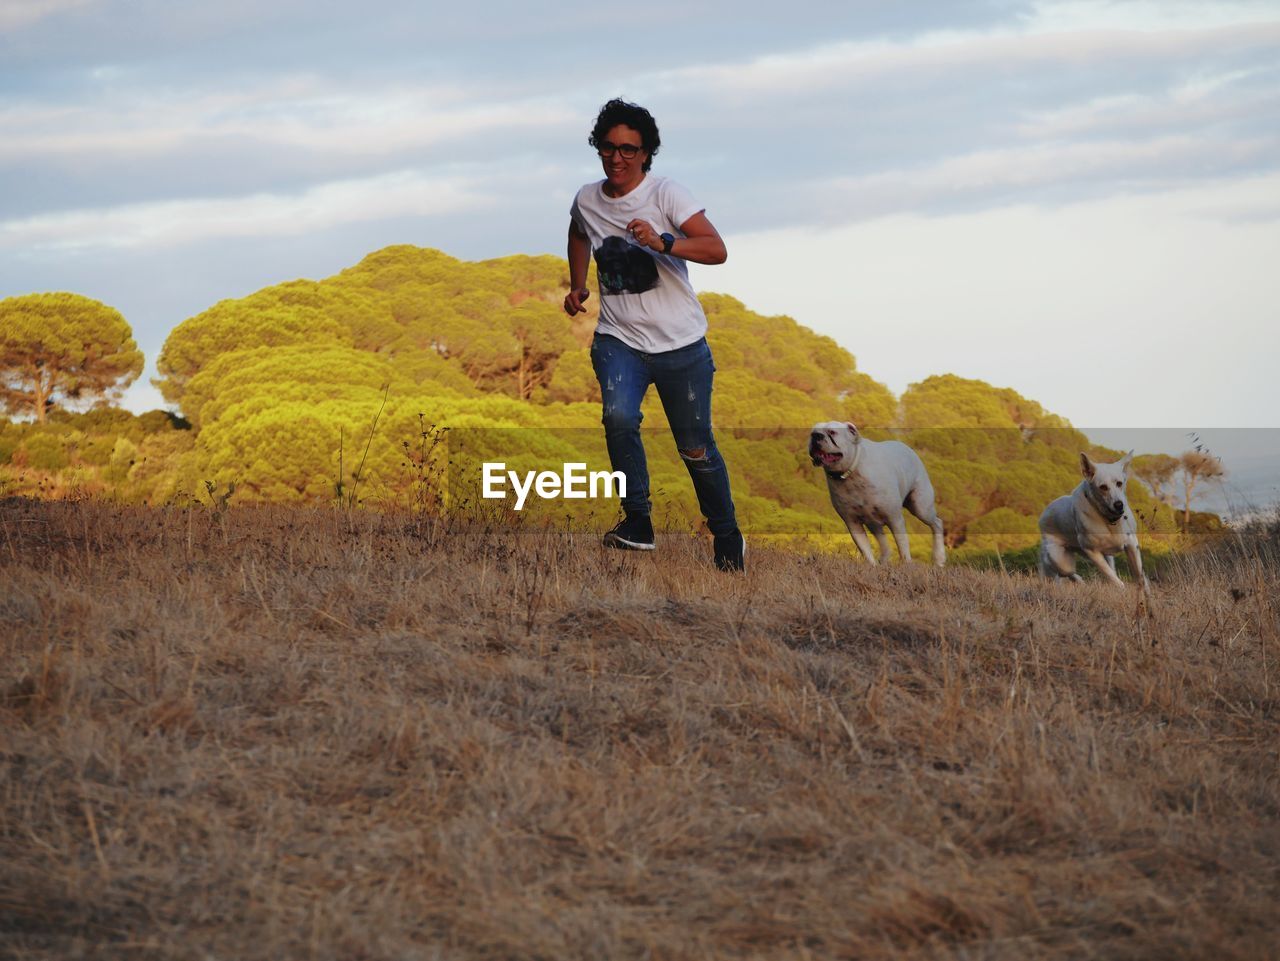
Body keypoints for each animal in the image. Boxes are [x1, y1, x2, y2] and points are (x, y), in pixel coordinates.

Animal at [808, 419, 942, 563]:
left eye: (832, 432)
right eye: (812, 431)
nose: (816, 435)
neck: (851, 474)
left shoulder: (895, 520)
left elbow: (903, 549)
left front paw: (907, 564)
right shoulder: (853, 524)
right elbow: (867, 552)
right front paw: (872, 566)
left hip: (921, 507)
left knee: (937, 523)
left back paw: (939, 558)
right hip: (874, 524)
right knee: (885, 546)